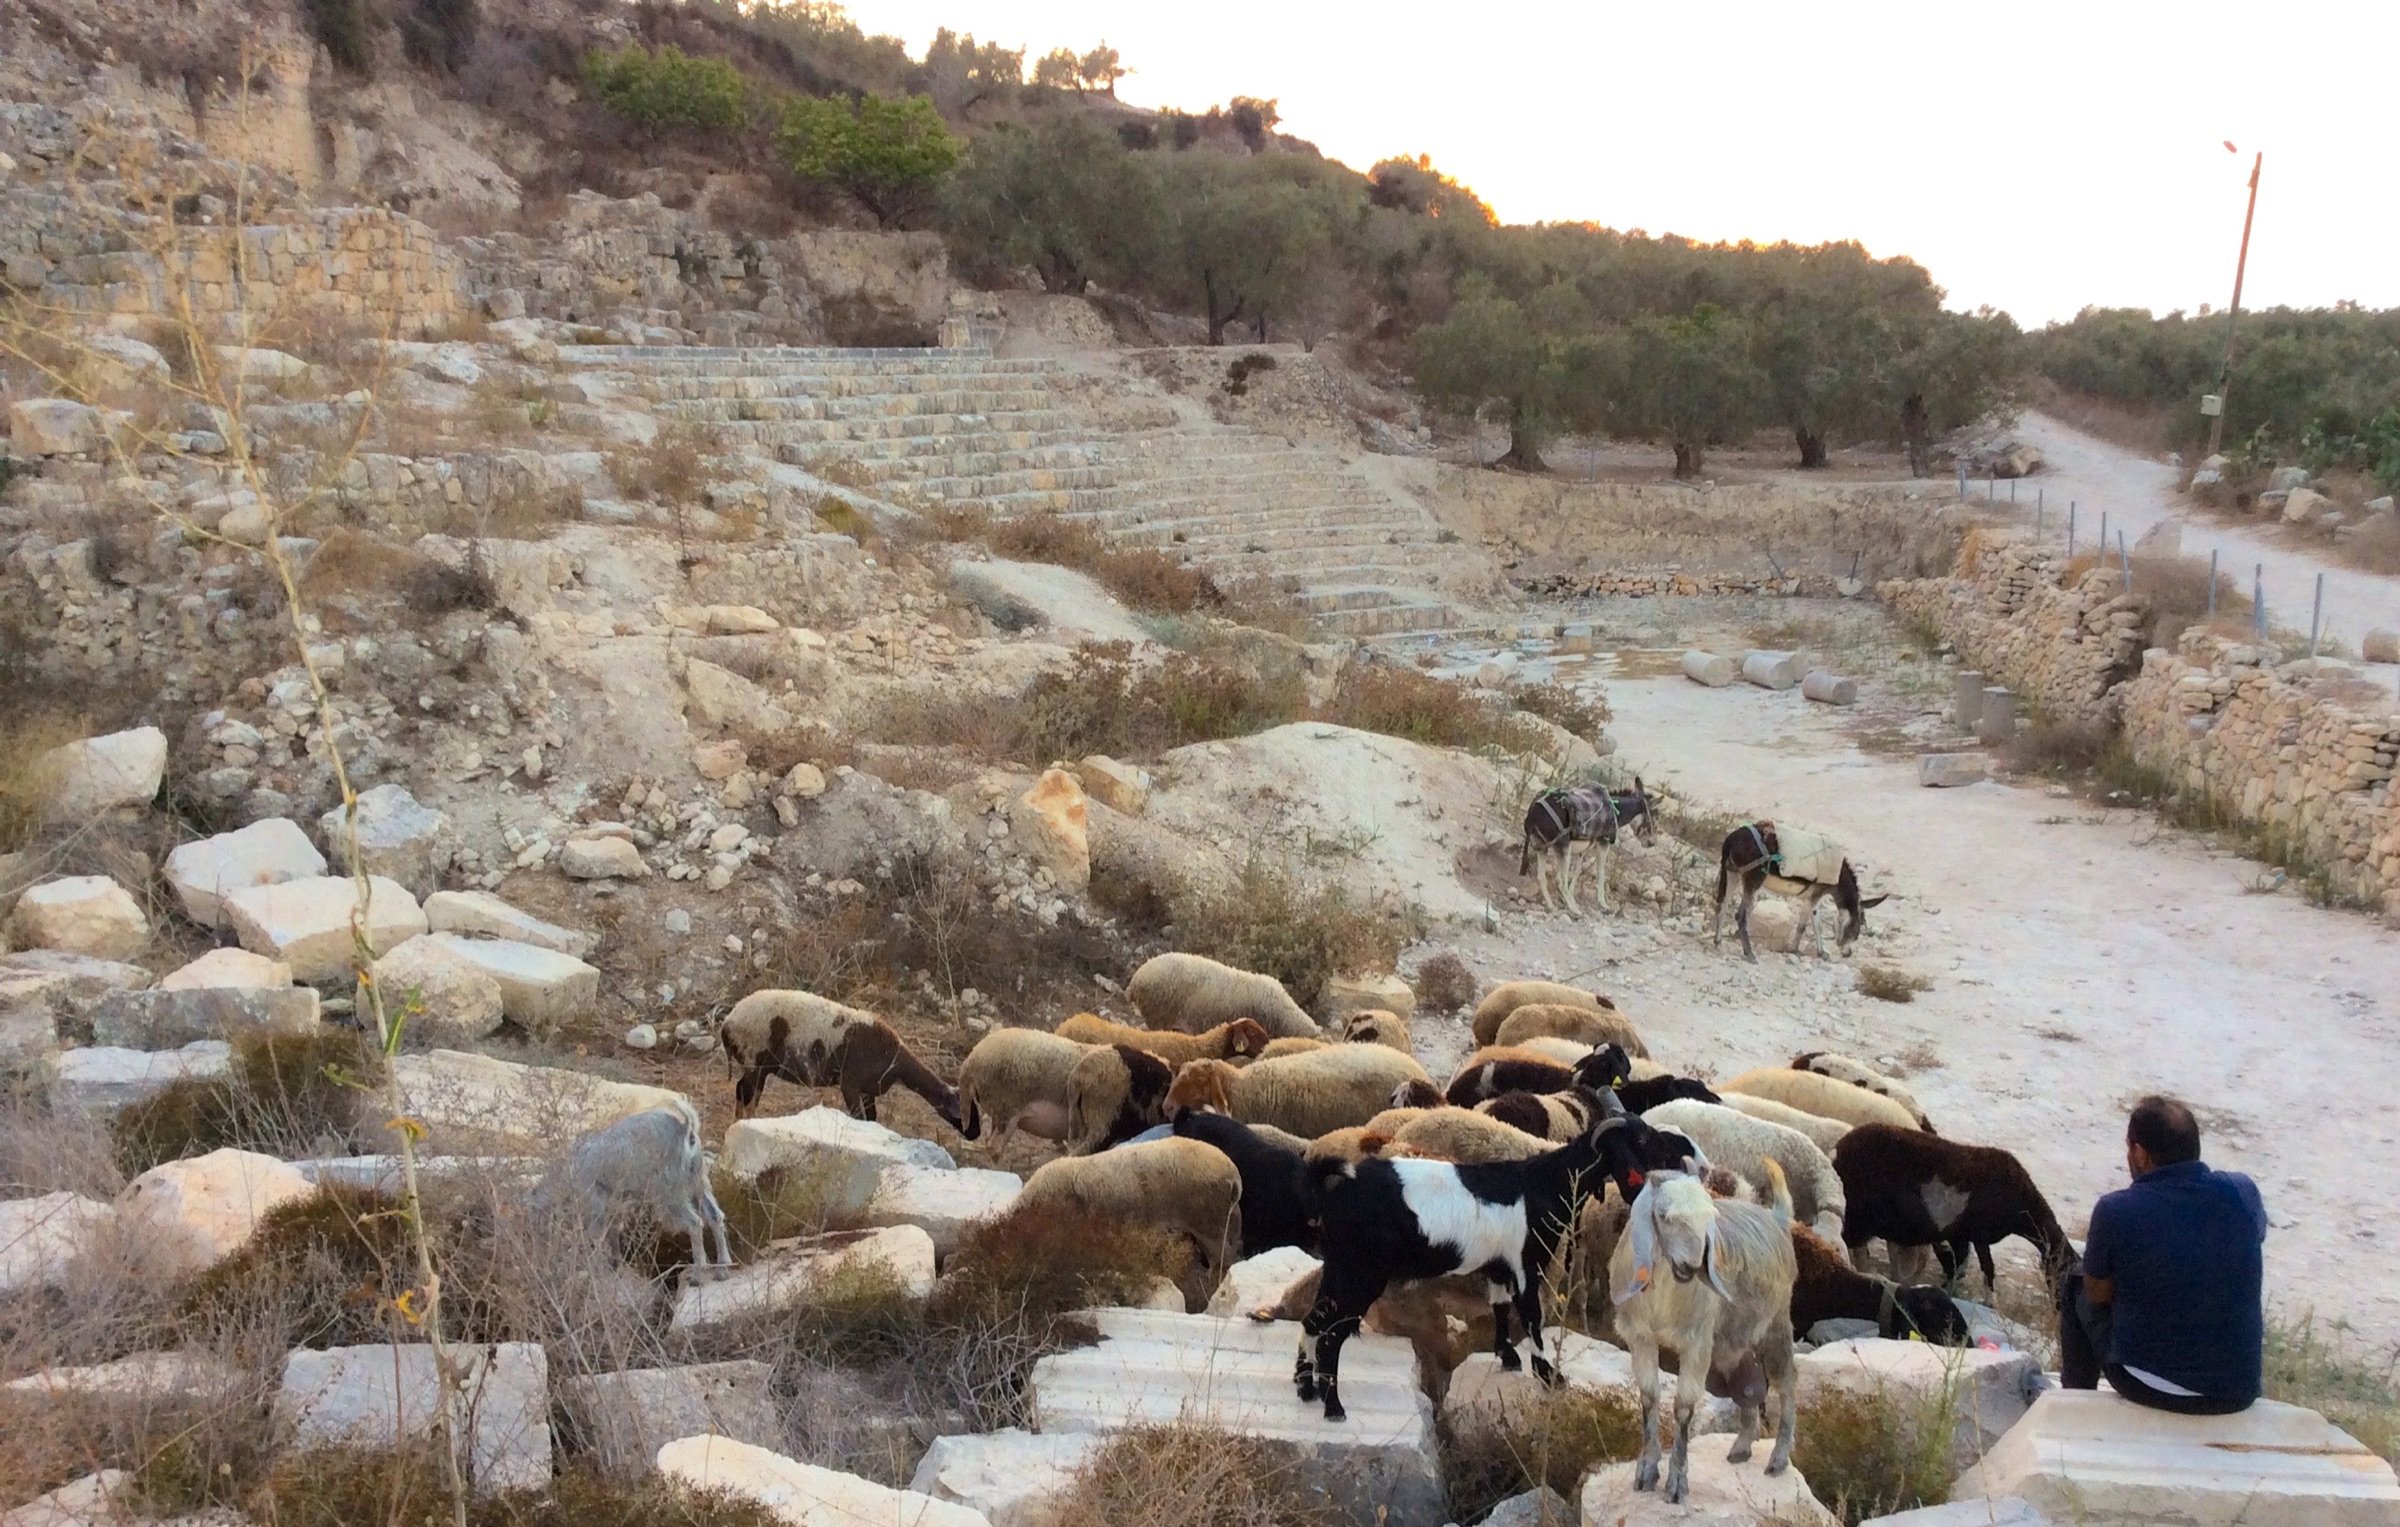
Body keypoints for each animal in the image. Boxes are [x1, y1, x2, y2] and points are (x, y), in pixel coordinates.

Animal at [535, 1100, 731, 1272]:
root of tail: (686, 1129)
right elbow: (613, 1231)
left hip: (668, 1191)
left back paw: (698, 1273)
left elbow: (594, 1236)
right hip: (698, 1181)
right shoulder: (613, 1205)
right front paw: (614, 1264)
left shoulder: (595, 1201)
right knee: (715, 1216)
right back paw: (722, 1268)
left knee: (694, 1223)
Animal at [718, 989, 959, 1127]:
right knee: (748, 1095)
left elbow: (871, 1119)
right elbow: (859, 1118)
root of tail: (727, 1023)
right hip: (753, 1060)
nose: (969, 1135)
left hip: (758, 1066)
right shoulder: (850, 1085)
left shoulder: (867, 1091)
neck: (895, 1063)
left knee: (741, 1090)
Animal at [1294, 1093, 1678, 1421]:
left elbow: (1499, 1305)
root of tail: (1335, 1192)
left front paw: (1507, 1356)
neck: (1544, 1182)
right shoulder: (1527, 1261)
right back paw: (1333, 1407)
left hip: (1339, 1268)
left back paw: (1306, 1389)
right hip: (1362, 1273)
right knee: (1331, 1335)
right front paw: (1548, 1375)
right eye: (1641, 1141)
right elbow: (1532, 1317)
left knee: (1312, 1322)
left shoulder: (1499, 1264)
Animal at [1609, 1161, 1799, 1504]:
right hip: (1731, 1343)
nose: (1694, 1264)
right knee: (1748, 1386)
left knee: (1786, 1384)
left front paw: (1676, 1484)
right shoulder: (1640, 1338)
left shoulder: (1696, 1344)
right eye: (1664, 1216)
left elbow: (1683, 1408)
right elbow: (1649, 1397)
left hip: (1776, 1323)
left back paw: (1778, 1460)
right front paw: (1646, 1473)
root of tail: (1777, 1218)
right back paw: (1741, 1448)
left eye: (1709, 1216)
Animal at [1832, 1124, 2077, 1293]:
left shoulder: (1960, 1235)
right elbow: (1988, 1268)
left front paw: (1948, 1290)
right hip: (1857, 1216)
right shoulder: (1979, 1235)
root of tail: (1838, 1151)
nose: (2058, 1309)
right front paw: (1989, 1302)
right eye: (2063, 1271)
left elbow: (1959, 1266)